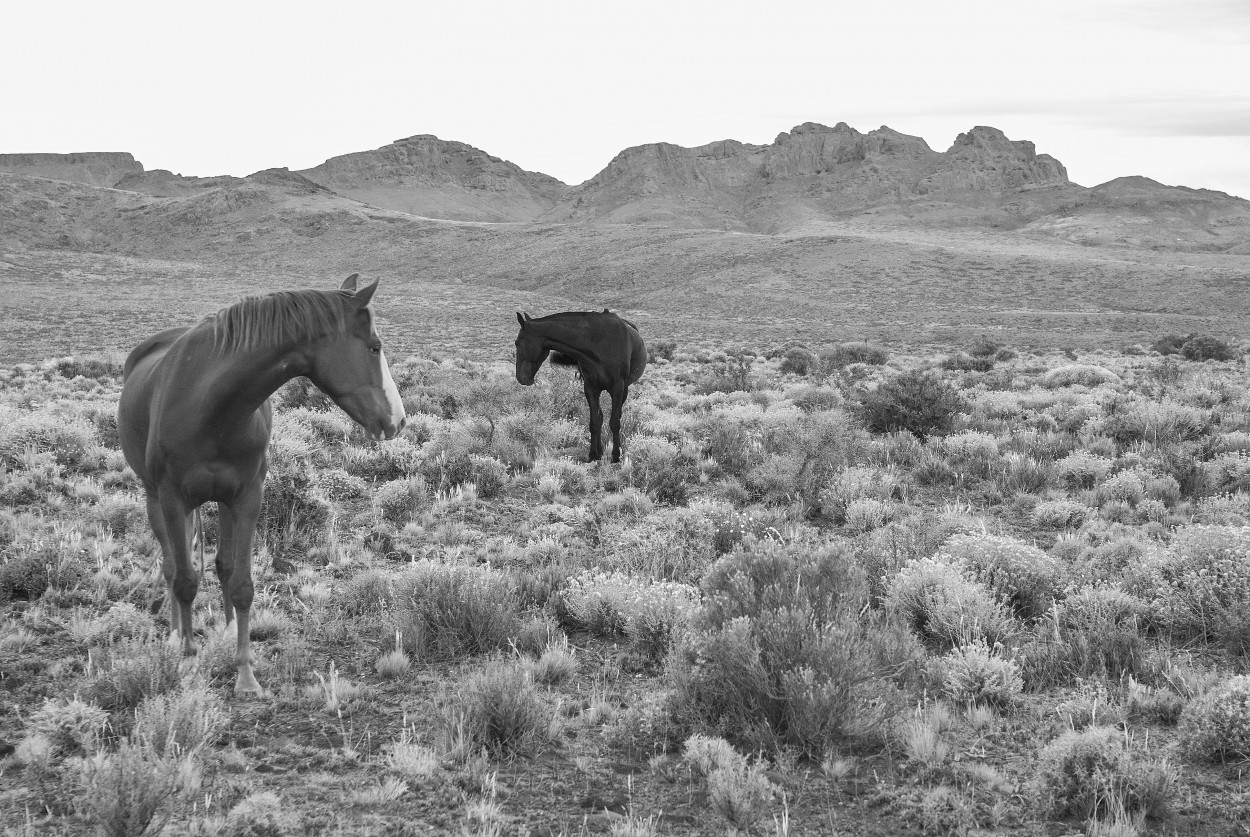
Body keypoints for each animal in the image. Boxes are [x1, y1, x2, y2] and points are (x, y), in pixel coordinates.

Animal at [118, 274, 405, 694]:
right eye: (373, 347)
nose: (398, 420)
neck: (213, 409)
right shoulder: (172, 498)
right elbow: (185, 581)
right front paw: (188, 663)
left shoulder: (247, 496)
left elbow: (241, 584)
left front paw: (245, 673)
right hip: (156, 498)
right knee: (172, 567)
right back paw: (175, 635)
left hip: (220, 500)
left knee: (220, 565)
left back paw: (224, 631)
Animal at [515, 309, 650, 464]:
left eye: (517, 343)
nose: (521, 378)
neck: (597, 343)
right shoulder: (590, 389)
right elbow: (595, 422)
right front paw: (593, 454)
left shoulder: (617, 388)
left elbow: (615, 422)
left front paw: (616, 455)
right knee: (600, 417)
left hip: (624, 389)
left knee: (618, 416)